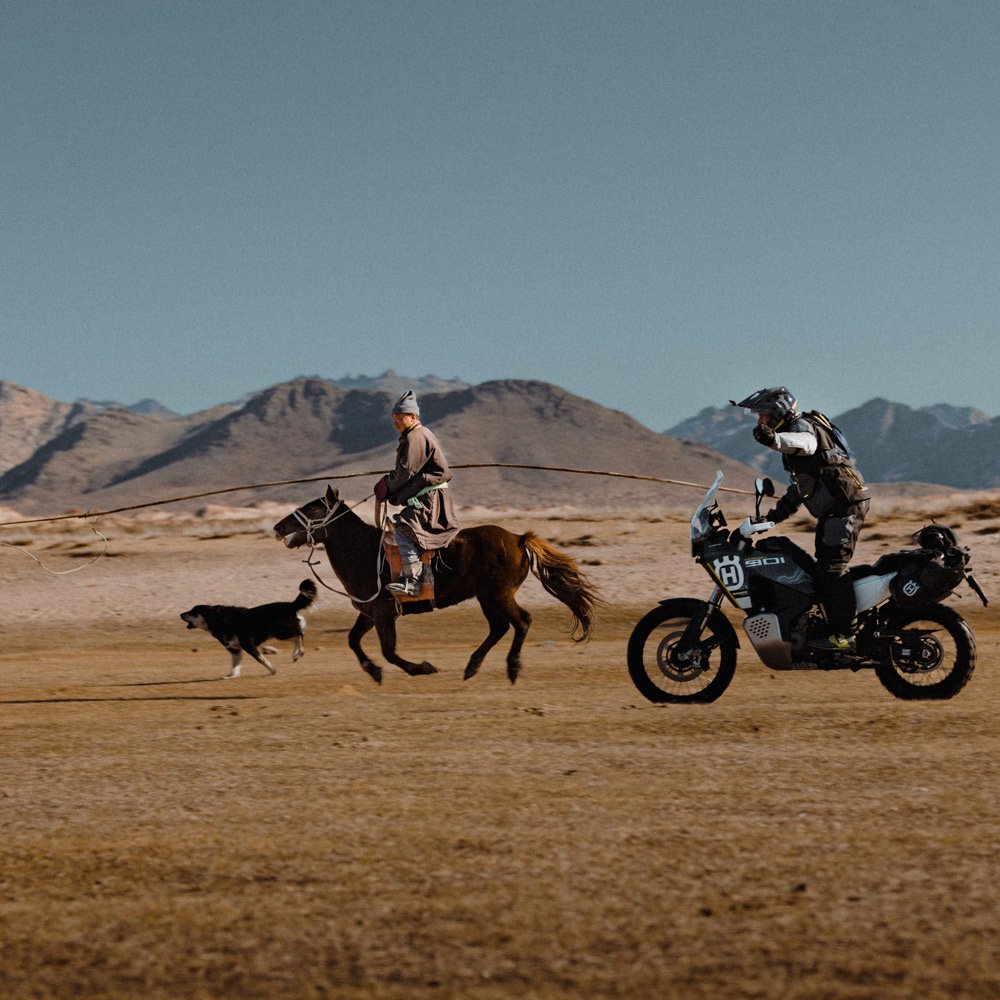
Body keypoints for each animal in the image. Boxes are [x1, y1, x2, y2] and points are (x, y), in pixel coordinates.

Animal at [180, 579, 318, 679]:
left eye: (193, 611)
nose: (180, 614)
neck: (218, 619)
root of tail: (290, 605)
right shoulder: (235, 649)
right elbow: (235, 664)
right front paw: (232, 676)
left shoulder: (247, 644)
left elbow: (261, 660)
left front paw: (272, 670)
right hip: (280, 633)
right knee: (296, 637)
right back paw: (295, 655)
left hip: (281, 631)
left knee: (300, 634)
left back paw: (300, 652)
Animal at [272, 486, 602, 685]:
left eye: (313, 508)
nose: (277, 526)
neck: (365, 552)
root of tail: (519, 538)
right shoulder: (369, 613)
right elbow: (354, 641)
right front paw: (374, 672)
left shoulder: (384, 613)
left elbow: (389, 651)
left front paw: (422, 668)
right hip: (486, 598)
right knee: (499, 628)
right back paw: (472, 667)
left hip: (499, 595)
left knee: (522, 621)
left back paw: (512, 667)